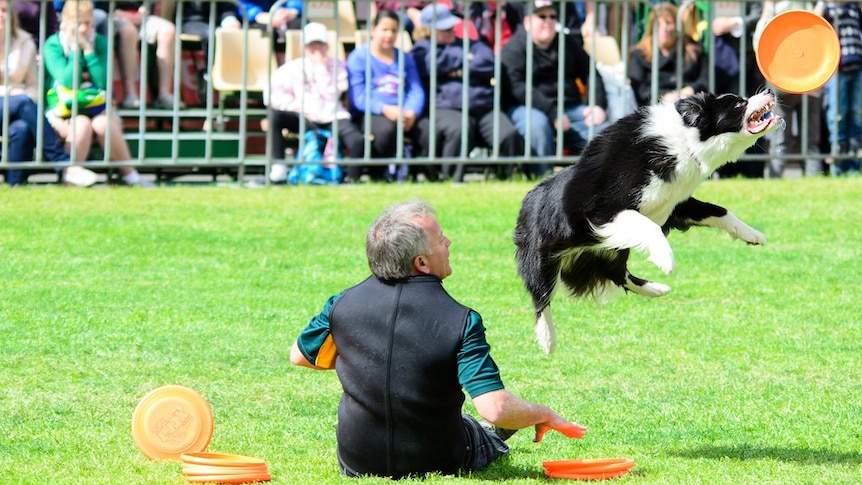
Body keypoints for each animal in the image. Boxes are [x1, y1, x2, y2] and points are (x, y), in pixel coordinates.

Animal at [516, 91, 788, 354]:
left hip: (611, 249)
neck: (684, 142)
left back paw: (656, 289)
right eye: (739, 104)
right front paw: (665, 259)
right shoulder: (603, 211)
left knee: (618, 274)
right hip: (543, 255)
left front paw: (753, 235)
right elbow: (649, 226)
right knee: (541, 297)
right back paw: (547, 340)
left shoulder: (676, 203)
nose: (769, 90)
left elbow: (719, 211)